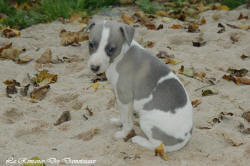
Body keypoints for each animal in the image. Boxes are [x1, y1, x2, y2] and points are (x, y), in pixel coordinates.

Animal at [85, 19, 192, 152]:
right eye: (91, 44)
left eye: (110, 49)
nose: (94, 68)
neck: (122, 54)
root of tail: (185, 139)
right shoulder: (121, 98)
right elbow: (123, 116)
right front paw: (118, 122)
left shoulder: (125, 97)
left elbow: (127, 121)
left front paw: (123, 133)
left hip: (147, 121)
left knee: (159, 146)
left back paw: (138, 140)